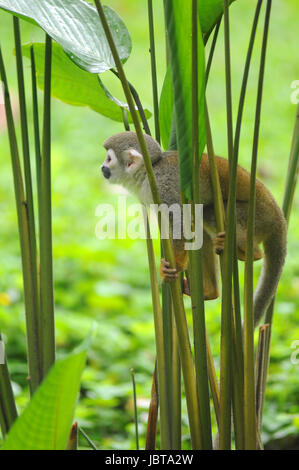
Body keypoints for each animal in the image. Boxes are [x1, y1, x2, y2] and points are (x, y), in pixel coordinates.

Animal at [101, 130, 288, 324]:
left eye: (109, 159)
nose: (102, 167)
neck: (148, 172)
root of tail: (279, 217)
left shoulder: (162, 185)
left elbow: (181, 224)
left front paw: (173, 266)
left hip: (258, 216)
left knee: (208, 213)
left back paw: (249, 253)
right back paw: (211, 292)